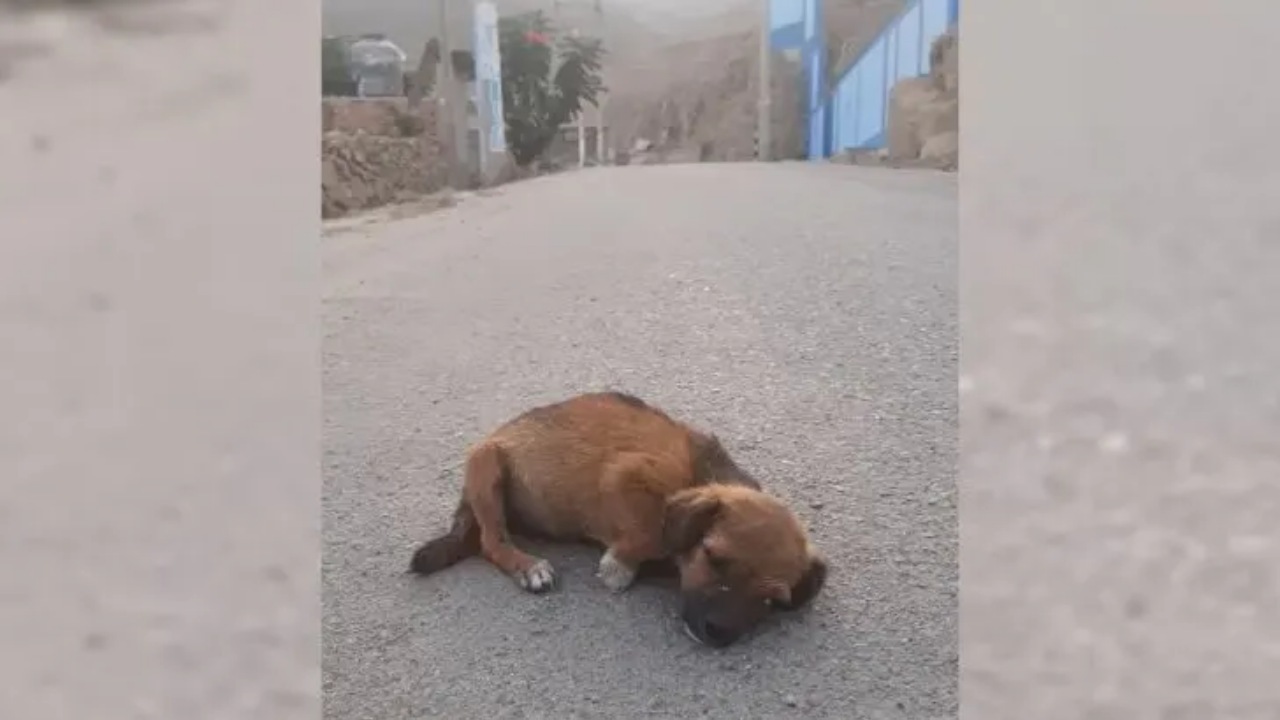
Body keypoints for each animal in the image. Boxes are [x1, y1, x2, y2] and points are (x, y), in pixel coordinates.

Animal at [409, 389, 829, 648]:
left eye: (771, 600)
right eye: (713, 558)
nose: (718, 633)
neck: (700, 476)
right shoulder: (622, 475)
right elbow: (653, 531)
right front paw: (620, 567)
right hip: (486, 463)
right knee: (490, 541)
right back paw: (528, 566)